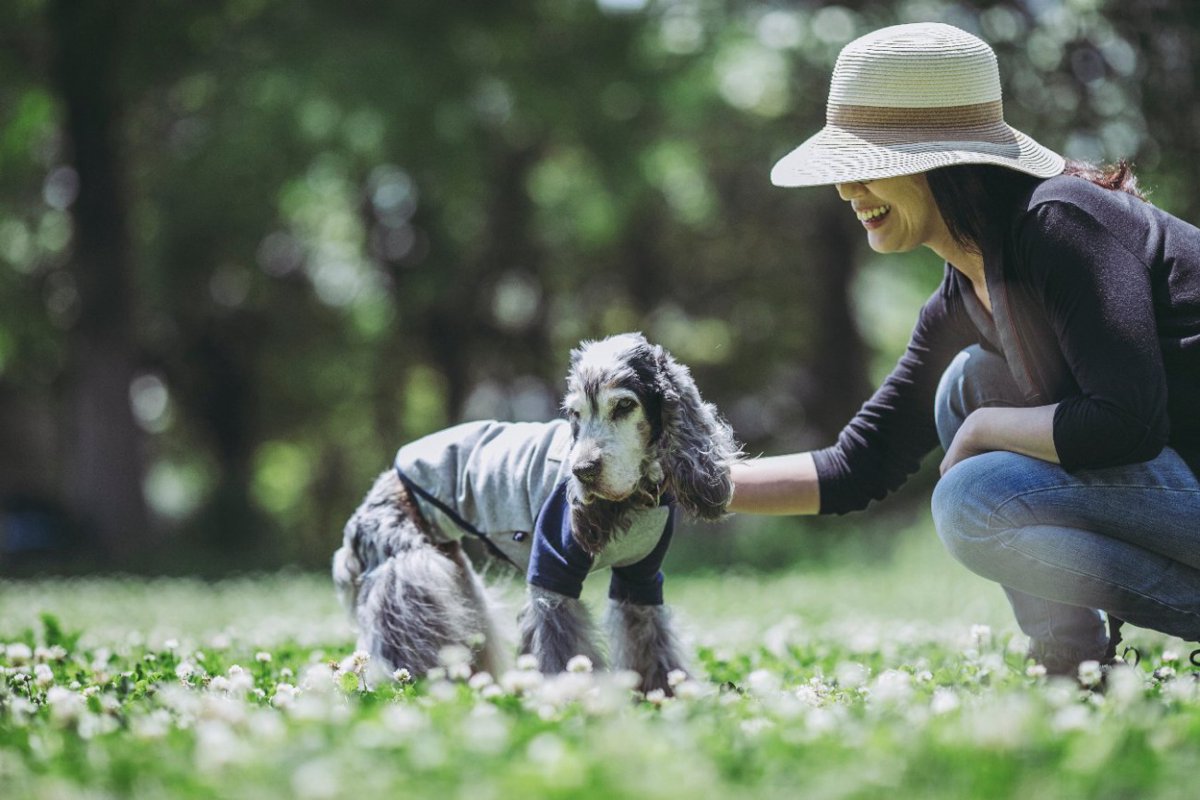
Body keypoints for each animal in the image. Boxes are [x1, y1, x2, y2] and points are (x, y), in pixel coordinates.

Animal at [331, 331, 739, 695]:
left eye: (624, 406)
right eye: (575, 413)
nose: (582, 470)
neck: (634, 497)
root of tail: (377, 492)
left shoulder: (640, 580)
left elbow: (652, 644)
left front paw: (667, 697)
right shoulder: (552, 574)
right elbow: (561, 649)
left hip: (457, 581)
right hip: (413, 580)